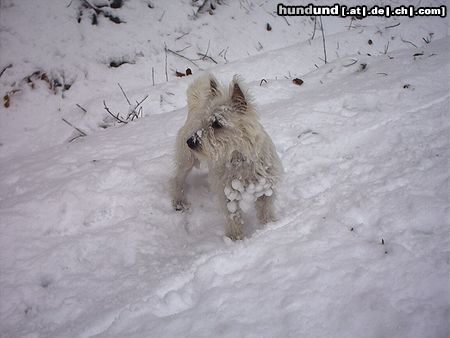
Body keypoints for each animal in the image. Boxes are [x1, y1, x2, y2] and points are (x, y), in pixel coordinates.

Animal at [171, 73, 284, 240]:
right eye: (203, 121)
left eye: (217, 123)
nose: (190, 142)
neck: (238, 157)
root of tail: (195, 108)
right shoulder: (228, 196)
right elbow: (234, 218)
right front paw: (236, 239)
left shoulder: (266, 188)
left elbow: (265, 209)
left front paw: (269, 226)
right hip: (187, 160)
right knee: (177, 179)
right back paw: (178, 200)